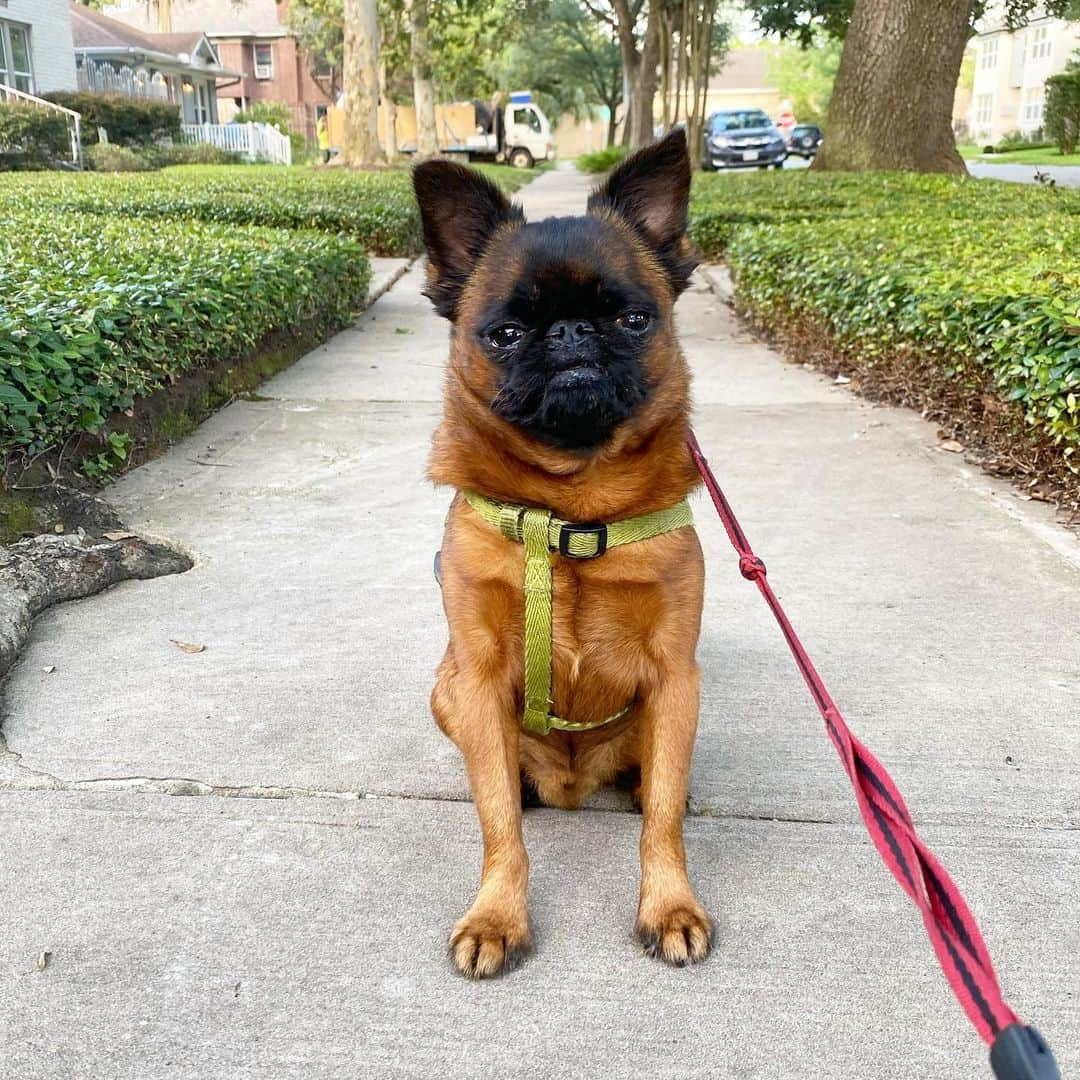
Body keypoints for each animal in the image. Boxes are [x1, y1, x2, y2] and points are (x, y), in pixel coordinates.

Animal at [412, 132, 708, 980]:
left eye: (635, 318)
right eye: (505, 334)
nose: (572, 335)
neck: (571, 513)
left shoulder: (676, 677)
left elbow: (663, 822)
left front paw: (668, 905)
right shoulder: (476, 681)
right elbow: (499, 830)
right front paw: (497, 916)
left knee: (656, 784)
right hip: (444, 693)